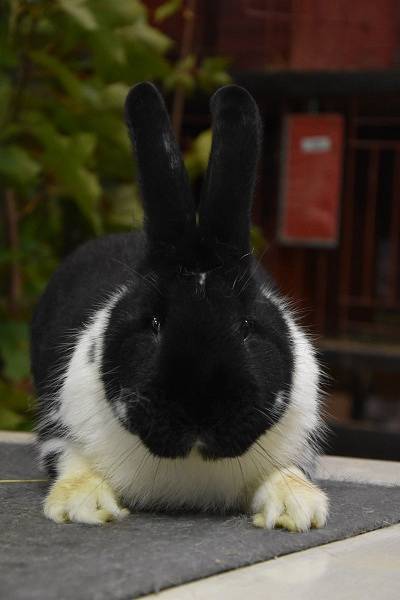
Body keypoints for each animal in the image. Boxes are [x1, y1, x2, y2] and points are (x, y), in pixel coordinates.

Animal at [29, 81, 326, 528]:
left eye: (246, 326)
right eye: (153, 322)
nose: (199, 408)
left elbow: (285, 473)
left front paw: (298, 509)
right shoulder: (60, 432)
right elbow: (75, 465)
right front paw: (85, 507)